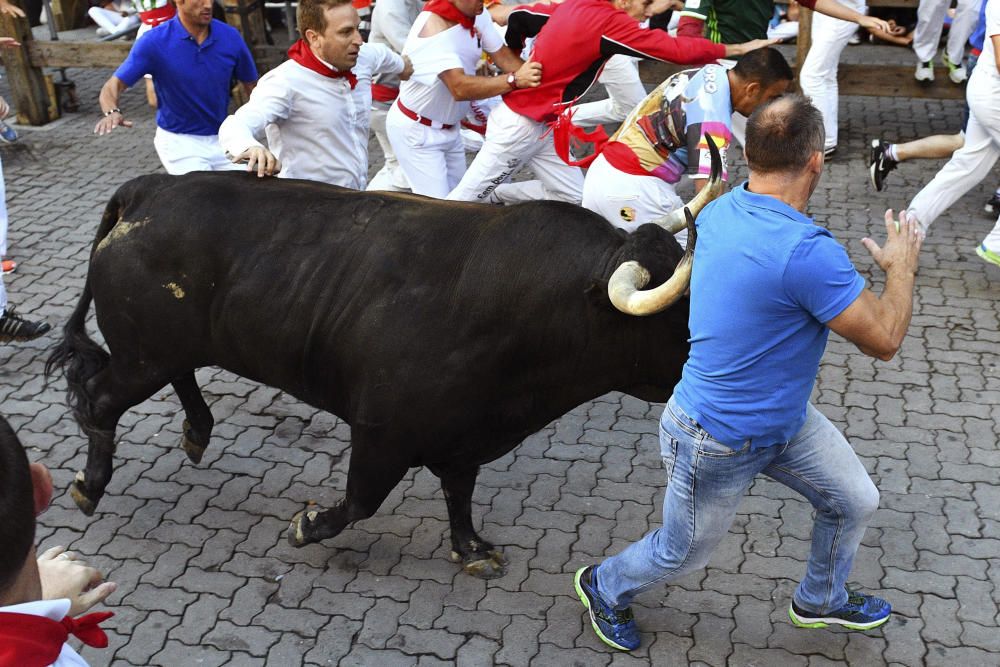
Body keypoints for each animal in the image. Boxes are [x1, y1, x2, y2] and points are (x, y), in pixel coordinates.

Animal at [48, 168, 704, 580]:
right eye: (684, 316)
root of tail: (153, 188)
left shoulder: (463, 435)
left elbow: (459, 492)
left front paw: (471, 548)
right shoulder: (382, 433)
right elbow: (360, 501)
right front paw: (308, 524)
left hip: (159, 351)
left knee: (172, 376)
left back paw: (196, 432)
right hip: (141, 356)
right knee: (99, 401)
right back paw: (90, 485)